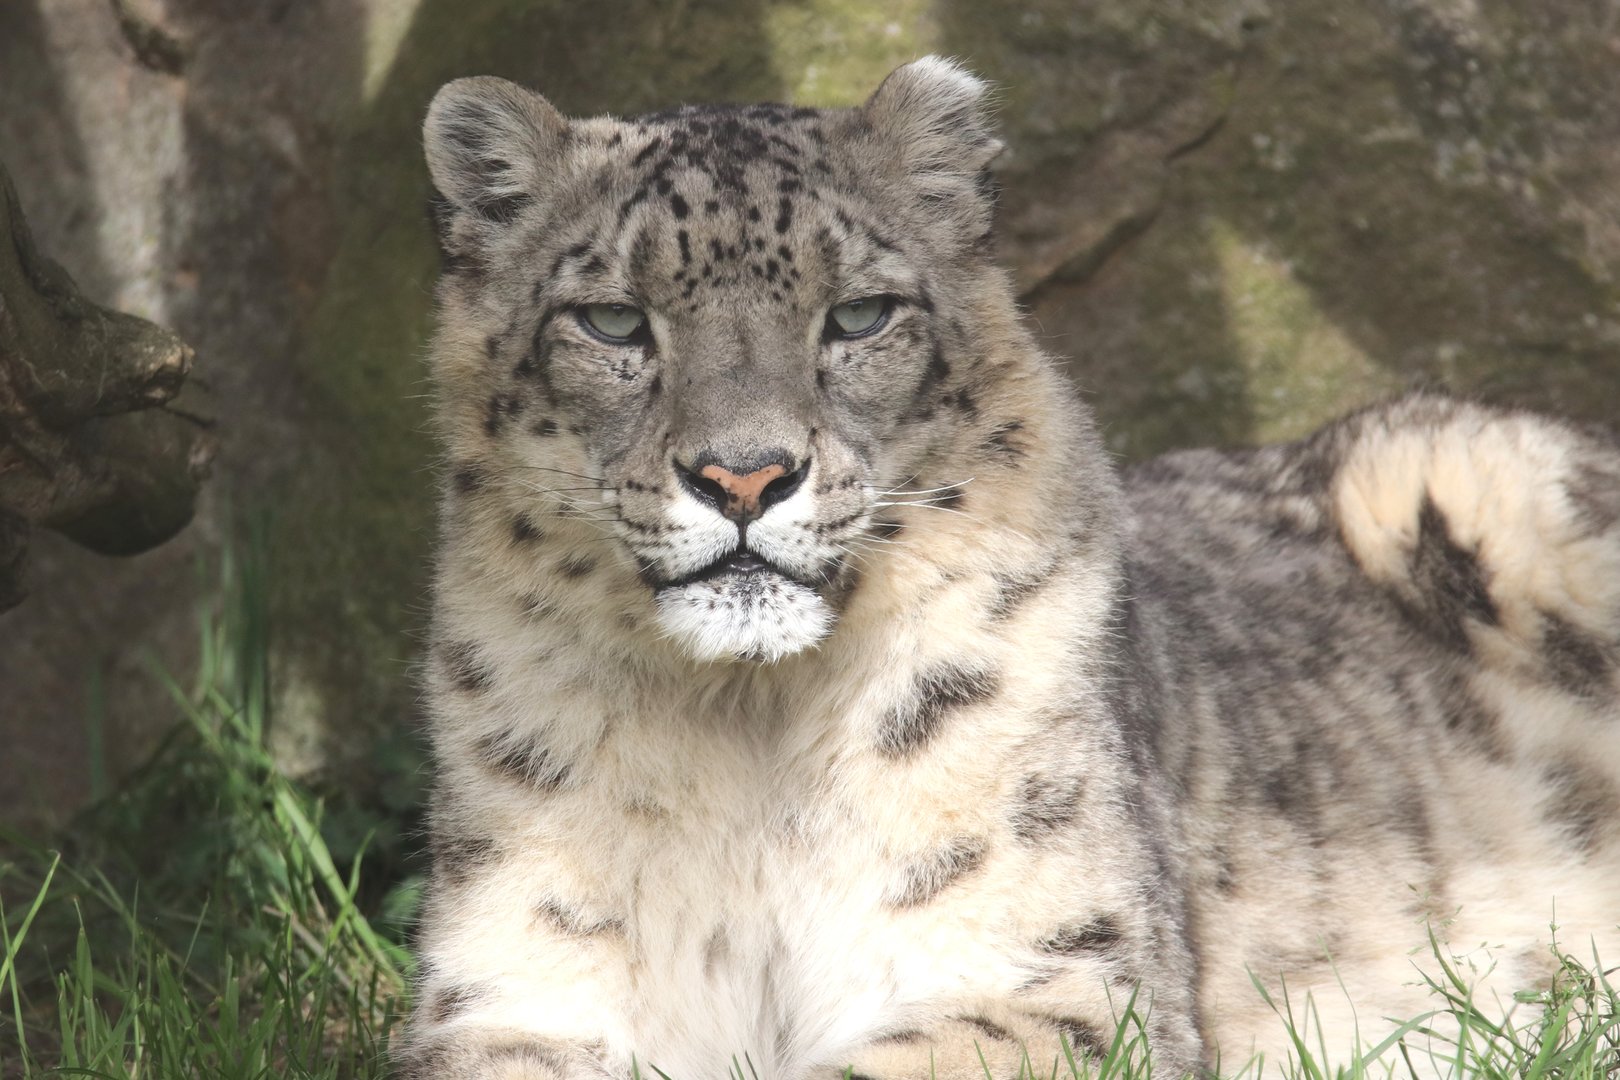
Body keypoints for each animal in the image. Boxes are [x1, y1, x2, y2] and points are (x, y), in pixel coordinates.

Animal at [398, 56, 1620, 1080]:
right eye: (612, 320)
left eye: (860, 314)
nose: (744, 476)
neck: (750, 734)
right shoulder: (519, 986)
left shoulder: (1054, 974)